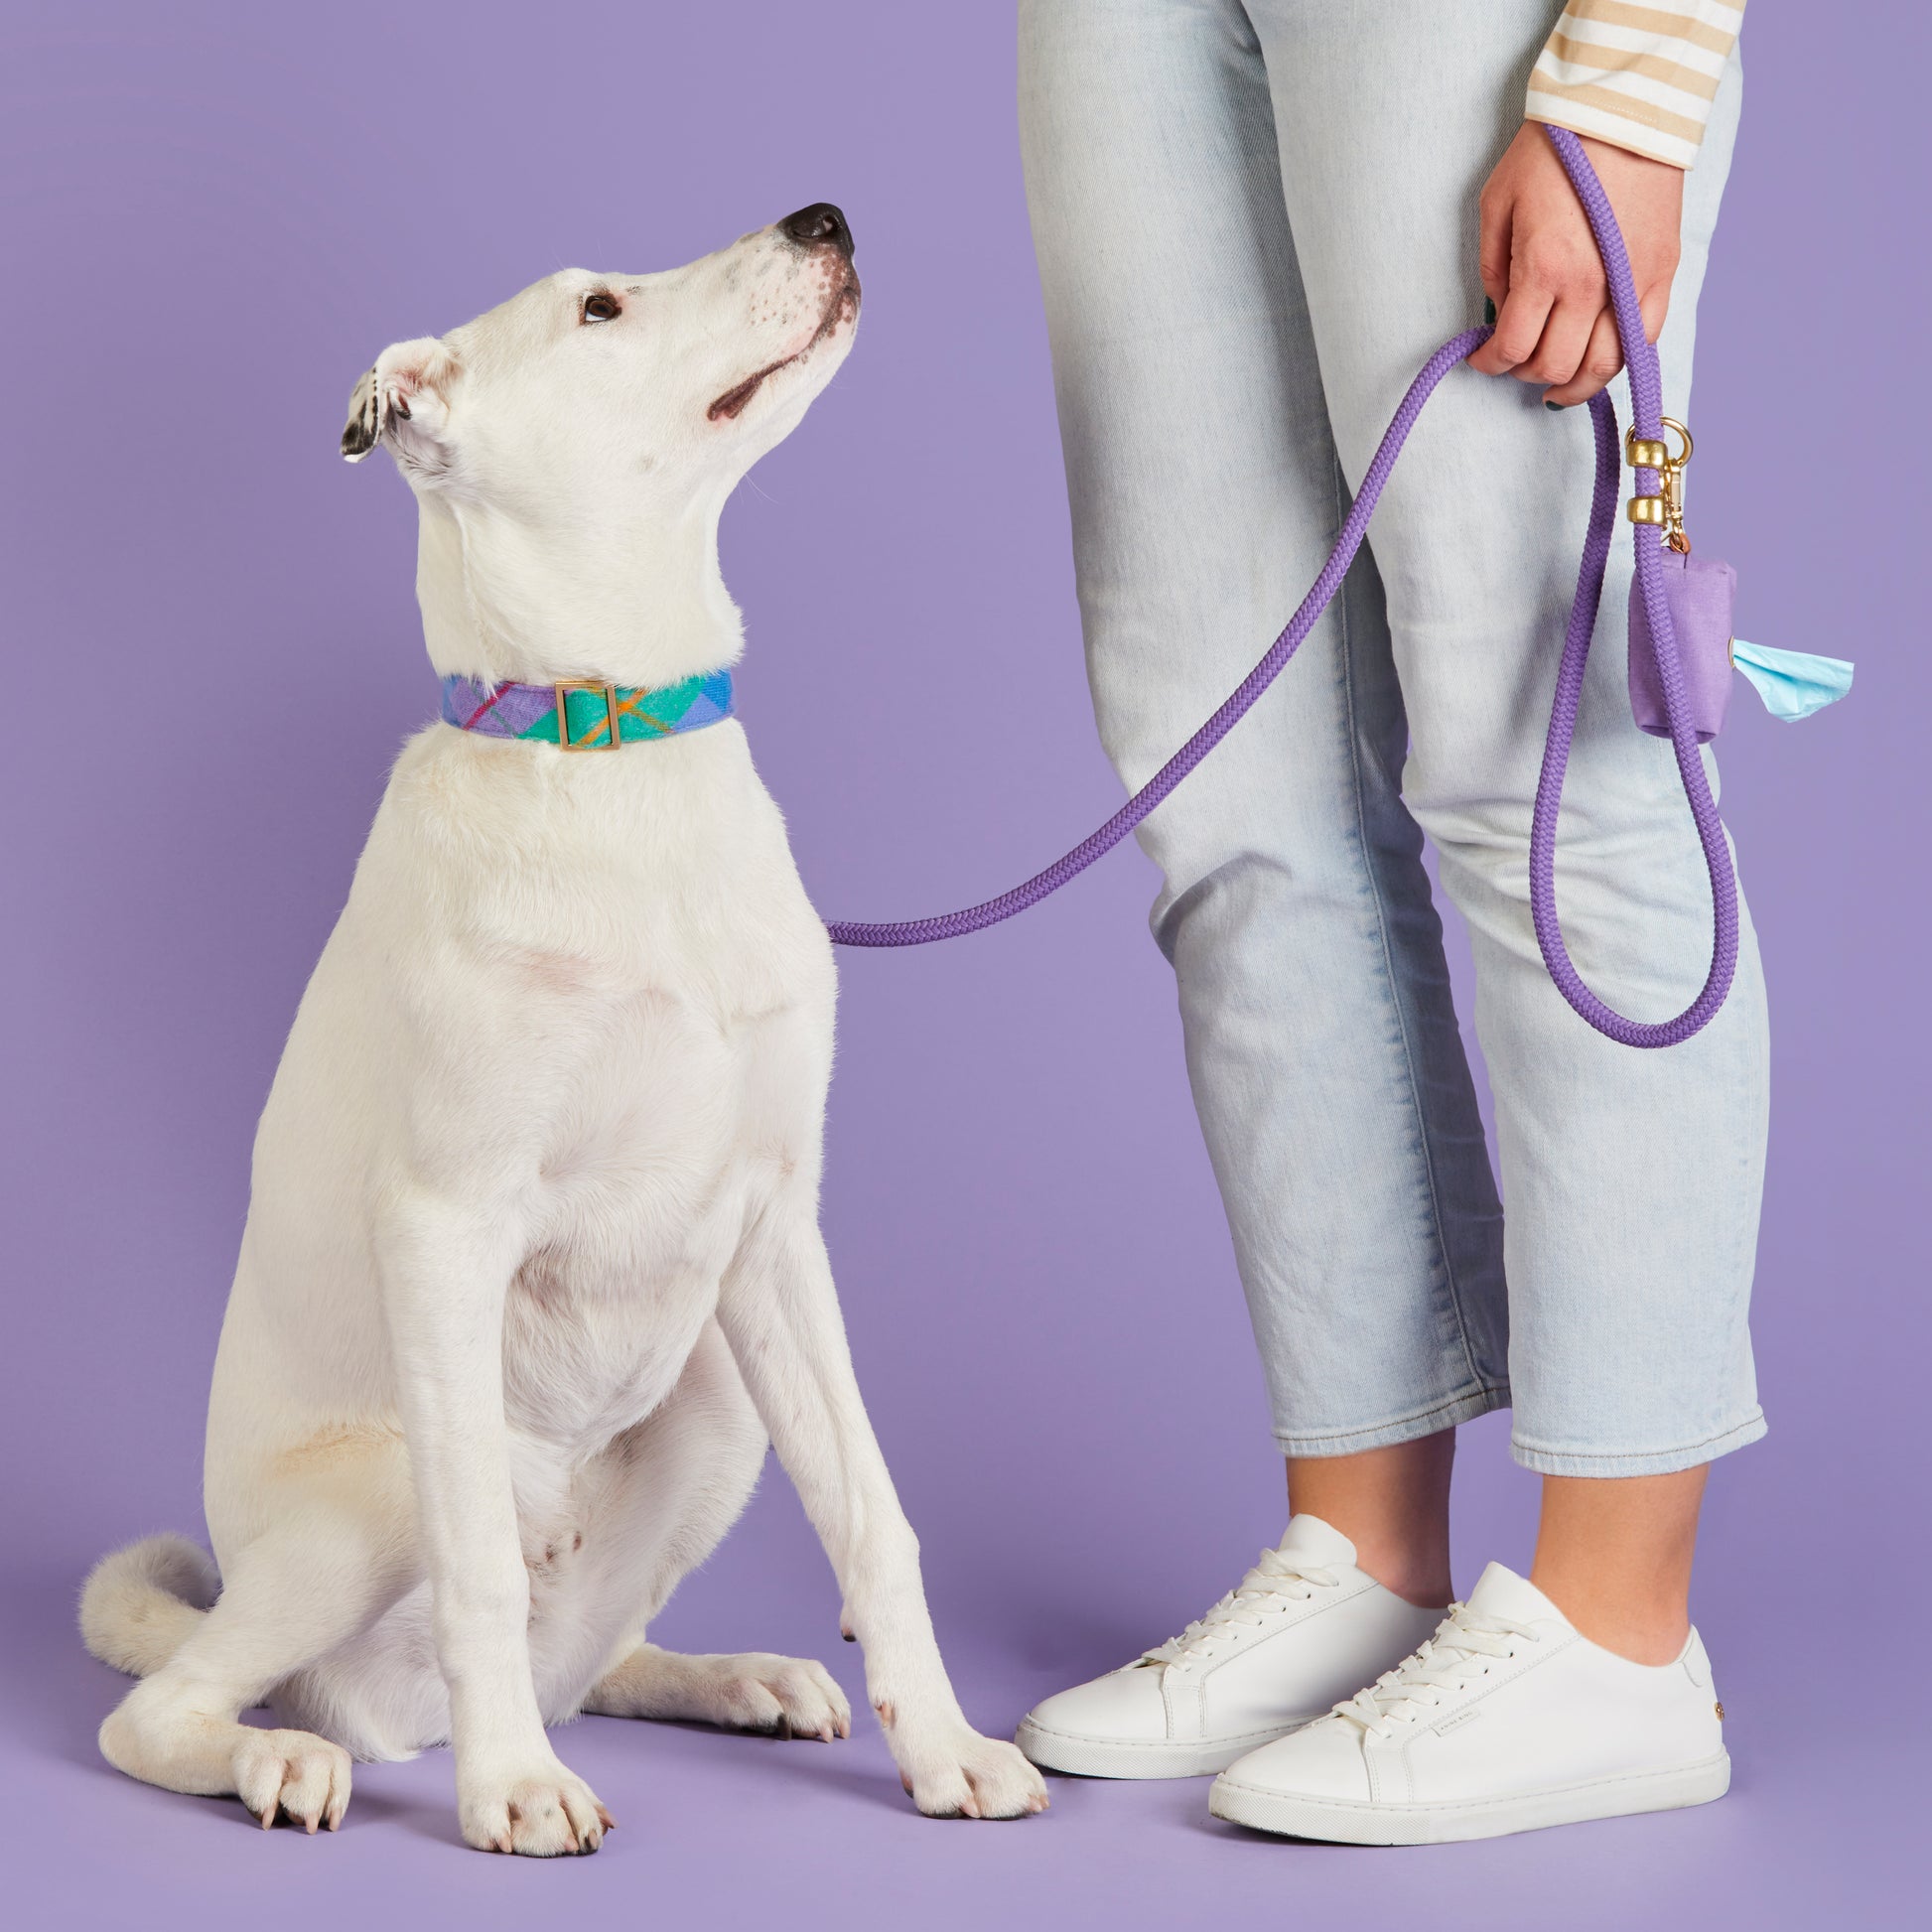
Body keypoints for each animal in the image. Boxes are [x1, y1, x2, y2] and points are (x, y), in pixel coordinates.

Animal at [80, 203, 1047, 1854]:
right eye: (599, 309)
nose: (825, 217)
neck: (611, 748)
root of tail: (391, 1710)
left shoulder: (777, 1227)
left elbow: (872, 1514)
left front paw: (946, 1749)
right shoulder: (442, 1224)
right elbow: (474, 1553)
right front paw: (513, 1792)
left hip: (720, 1406)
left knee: (590, 1663)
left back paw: (727, 1677)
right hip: (369, 1500)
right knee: (177, 1704)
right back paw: (304, 1757)